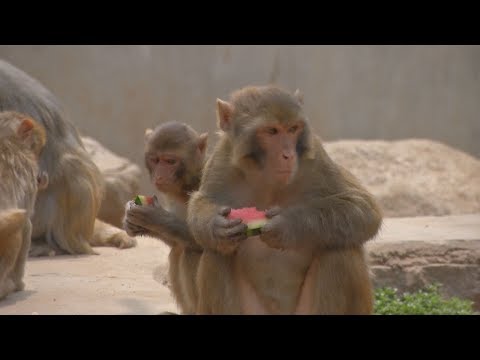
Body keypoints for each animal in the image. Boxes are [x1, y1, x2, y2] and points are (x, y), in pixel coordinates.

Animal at [124, 122, 208, 314]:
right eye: (155, 160)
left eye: (170, 161)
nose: (160, 175)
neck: (187, 186)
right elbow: (174, 241)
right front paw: (133, 223)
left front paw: (153, 217)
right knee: (178, 249)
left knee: (191, 251)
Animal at [187, 85, 382, 316]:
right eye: (272, 131)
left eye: (292, 129)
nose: (288, 155)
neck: (267, 179)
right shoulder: (221, 161)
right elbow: (202, 203)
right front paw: (216, 225)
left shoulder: (316, 158)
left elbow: (364, 207)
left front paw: (287, 225)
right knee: (216, 254)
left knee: (341, 251)